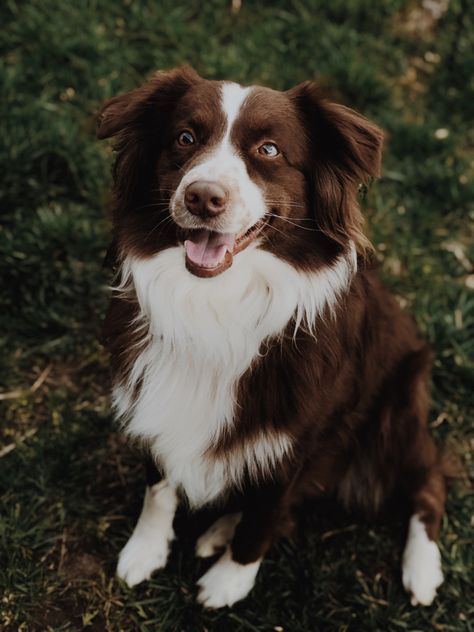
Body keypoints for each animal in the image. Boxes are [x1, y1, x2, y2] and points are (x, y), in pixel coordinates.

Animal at [98, 66, 446, 608]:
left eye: (268, 150)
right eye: (185, 138)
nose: (202, 197)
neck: (214, 307)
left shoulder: (299, 437)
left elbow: (265, 514)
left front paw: (230, 580)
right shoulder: (154, 399)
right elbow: (158, 487)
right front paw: (145, 551)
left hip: (398, 410)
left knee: (430, 480)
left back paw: (423, 570)